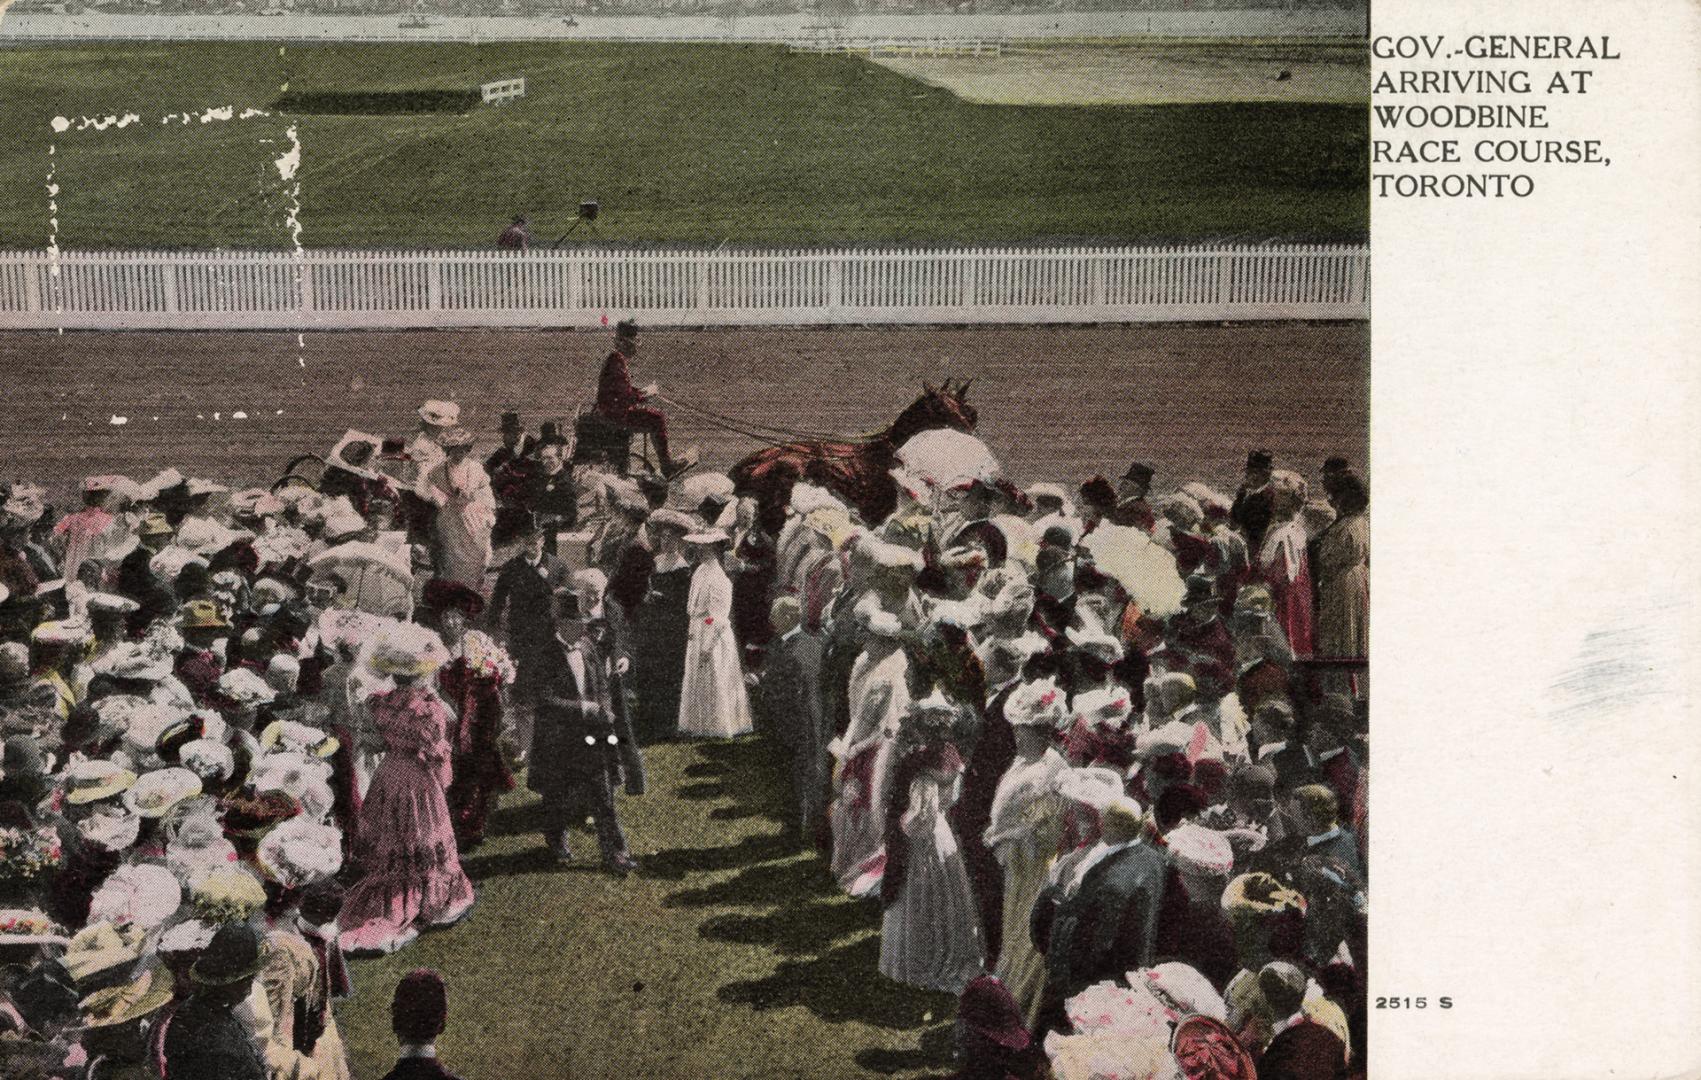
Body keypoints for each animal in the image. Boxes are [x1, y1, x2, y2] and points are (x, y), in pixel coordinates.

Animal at [724, 380, 979, 534]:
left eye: (967, 408)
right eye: (939, 406)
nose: (971, 430)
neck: (886, 457)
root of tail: (743, 467)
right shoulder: (876, 513)